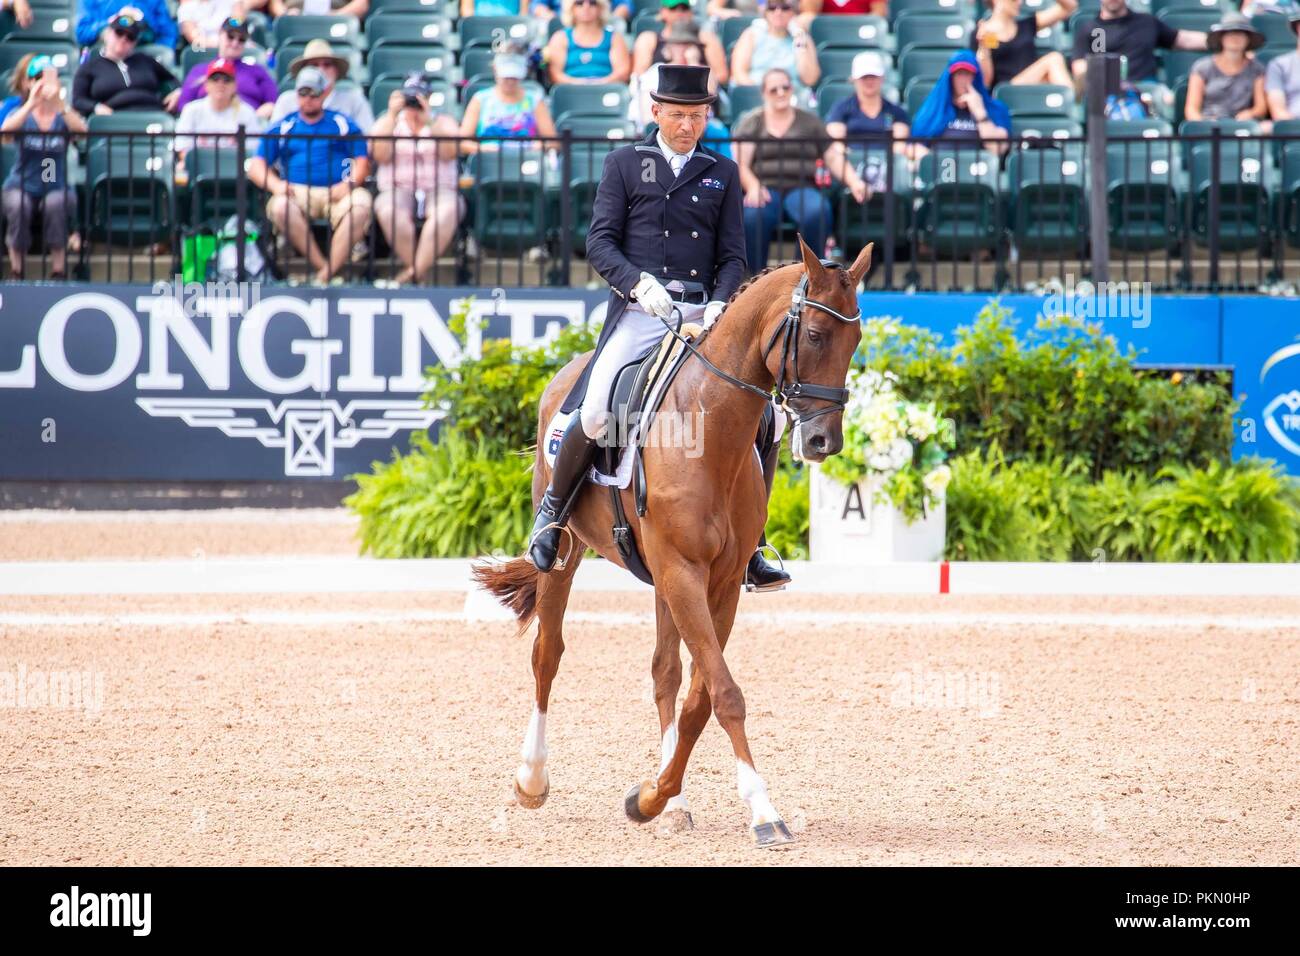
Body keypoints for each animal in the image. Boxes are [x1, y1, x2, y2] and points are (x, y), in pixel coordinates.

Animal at [473, 239, 868, 842]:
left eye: (857, 338)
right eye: (818, 336)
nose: (825, 440)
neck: (709, 425)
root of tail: (568, 372)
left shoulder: (718, 582)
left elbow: (700, 696)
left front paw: (654, 796)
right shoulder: (683, 571)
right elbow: (724, 692)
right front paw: (761, 811)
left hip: (661, 575)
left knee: (664, 672)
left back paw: (671, 798)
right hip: (568, 553)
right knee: (548, 653)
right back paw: (532, 779)